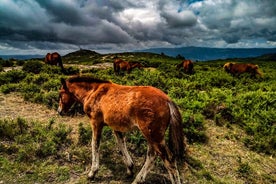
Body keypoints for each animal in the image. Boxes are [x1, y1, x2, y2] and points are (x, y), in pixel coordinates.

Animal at [57, 75, 187, 183]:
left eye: (60, 94)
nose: (59, 111)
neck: (94, 92)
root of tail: (167, 100)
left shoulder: (96, 122)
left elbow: (95, 144)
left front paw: (92, 172)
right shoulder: (116, 126)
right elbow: (121, 144)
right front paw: (130, 168)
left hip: (153, 135)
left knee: (169, 159)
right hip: (152, 136)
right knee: (152, 155)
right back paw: (138, 179)